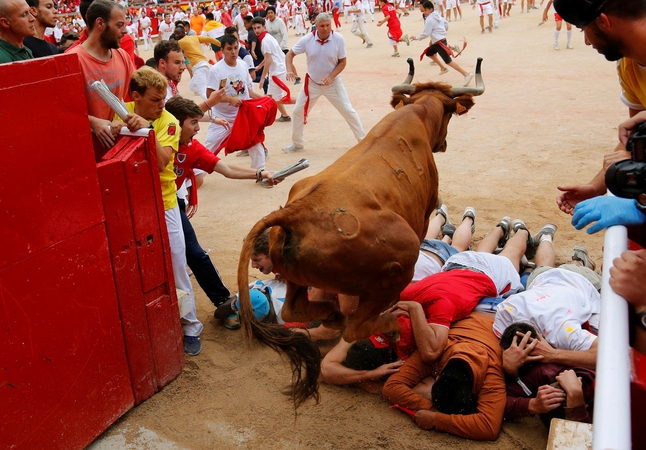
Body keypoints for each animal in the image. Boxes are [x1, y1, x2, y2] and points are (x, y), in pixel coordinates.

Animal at [235, 57, 484, 408]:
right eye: (450, 113)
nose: (444, 143)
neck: (416, 113)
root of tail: (294, 212)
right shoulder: (423, 217)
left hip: (298, 277)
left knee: (293, 309)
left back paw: (333, 314)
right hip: (400, 262)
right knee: (357, 327)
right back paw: (387, 324)